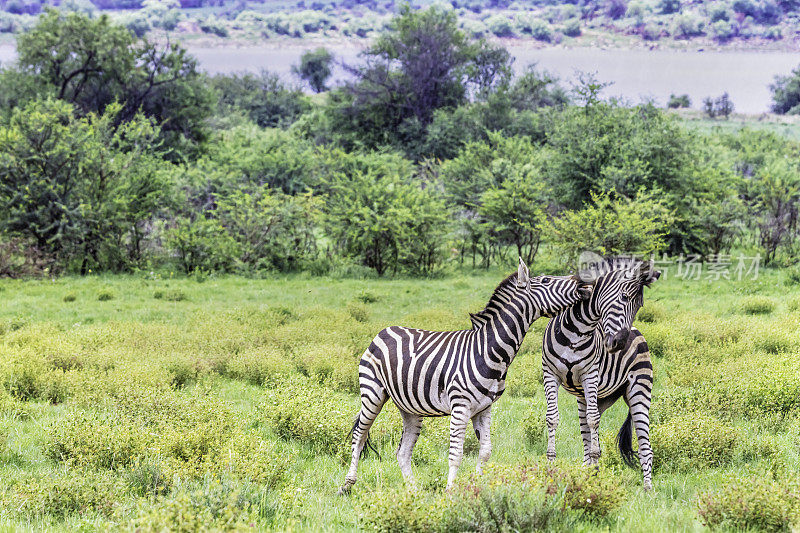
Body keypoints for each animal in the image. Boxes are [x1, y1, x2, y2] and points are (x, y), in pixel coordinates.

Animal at [334, 258, 592, 494]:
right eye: (547, 280)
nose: (583, 283)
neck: (489, 350)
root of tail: (384, 330)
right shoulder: (460, 406)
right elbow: (456, 454)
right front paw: (450, 493)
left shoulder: (484, 407)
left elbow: (485, 451)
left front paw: (475, 488)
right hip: (373, 393)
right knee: (359, 435)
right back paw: (347, 485)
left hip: (410, 408)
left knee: (403, 451)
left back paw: (414, 493)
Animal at [540, 258, 660, 490]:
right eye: (624, 297)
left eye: (639, 305)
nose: (620, 343)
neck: (576, 332)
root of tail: (638, 332)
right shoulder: (549, 374)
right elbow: (553, 418)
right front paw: (550, 461)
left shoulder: (590, 376)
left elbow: (594, 421)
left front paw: (596, 459)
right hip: (593, 399)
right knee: (587, 433)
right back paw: (589, 473)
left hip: (639, 390)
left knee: (645, 447)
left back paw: (648, 488)